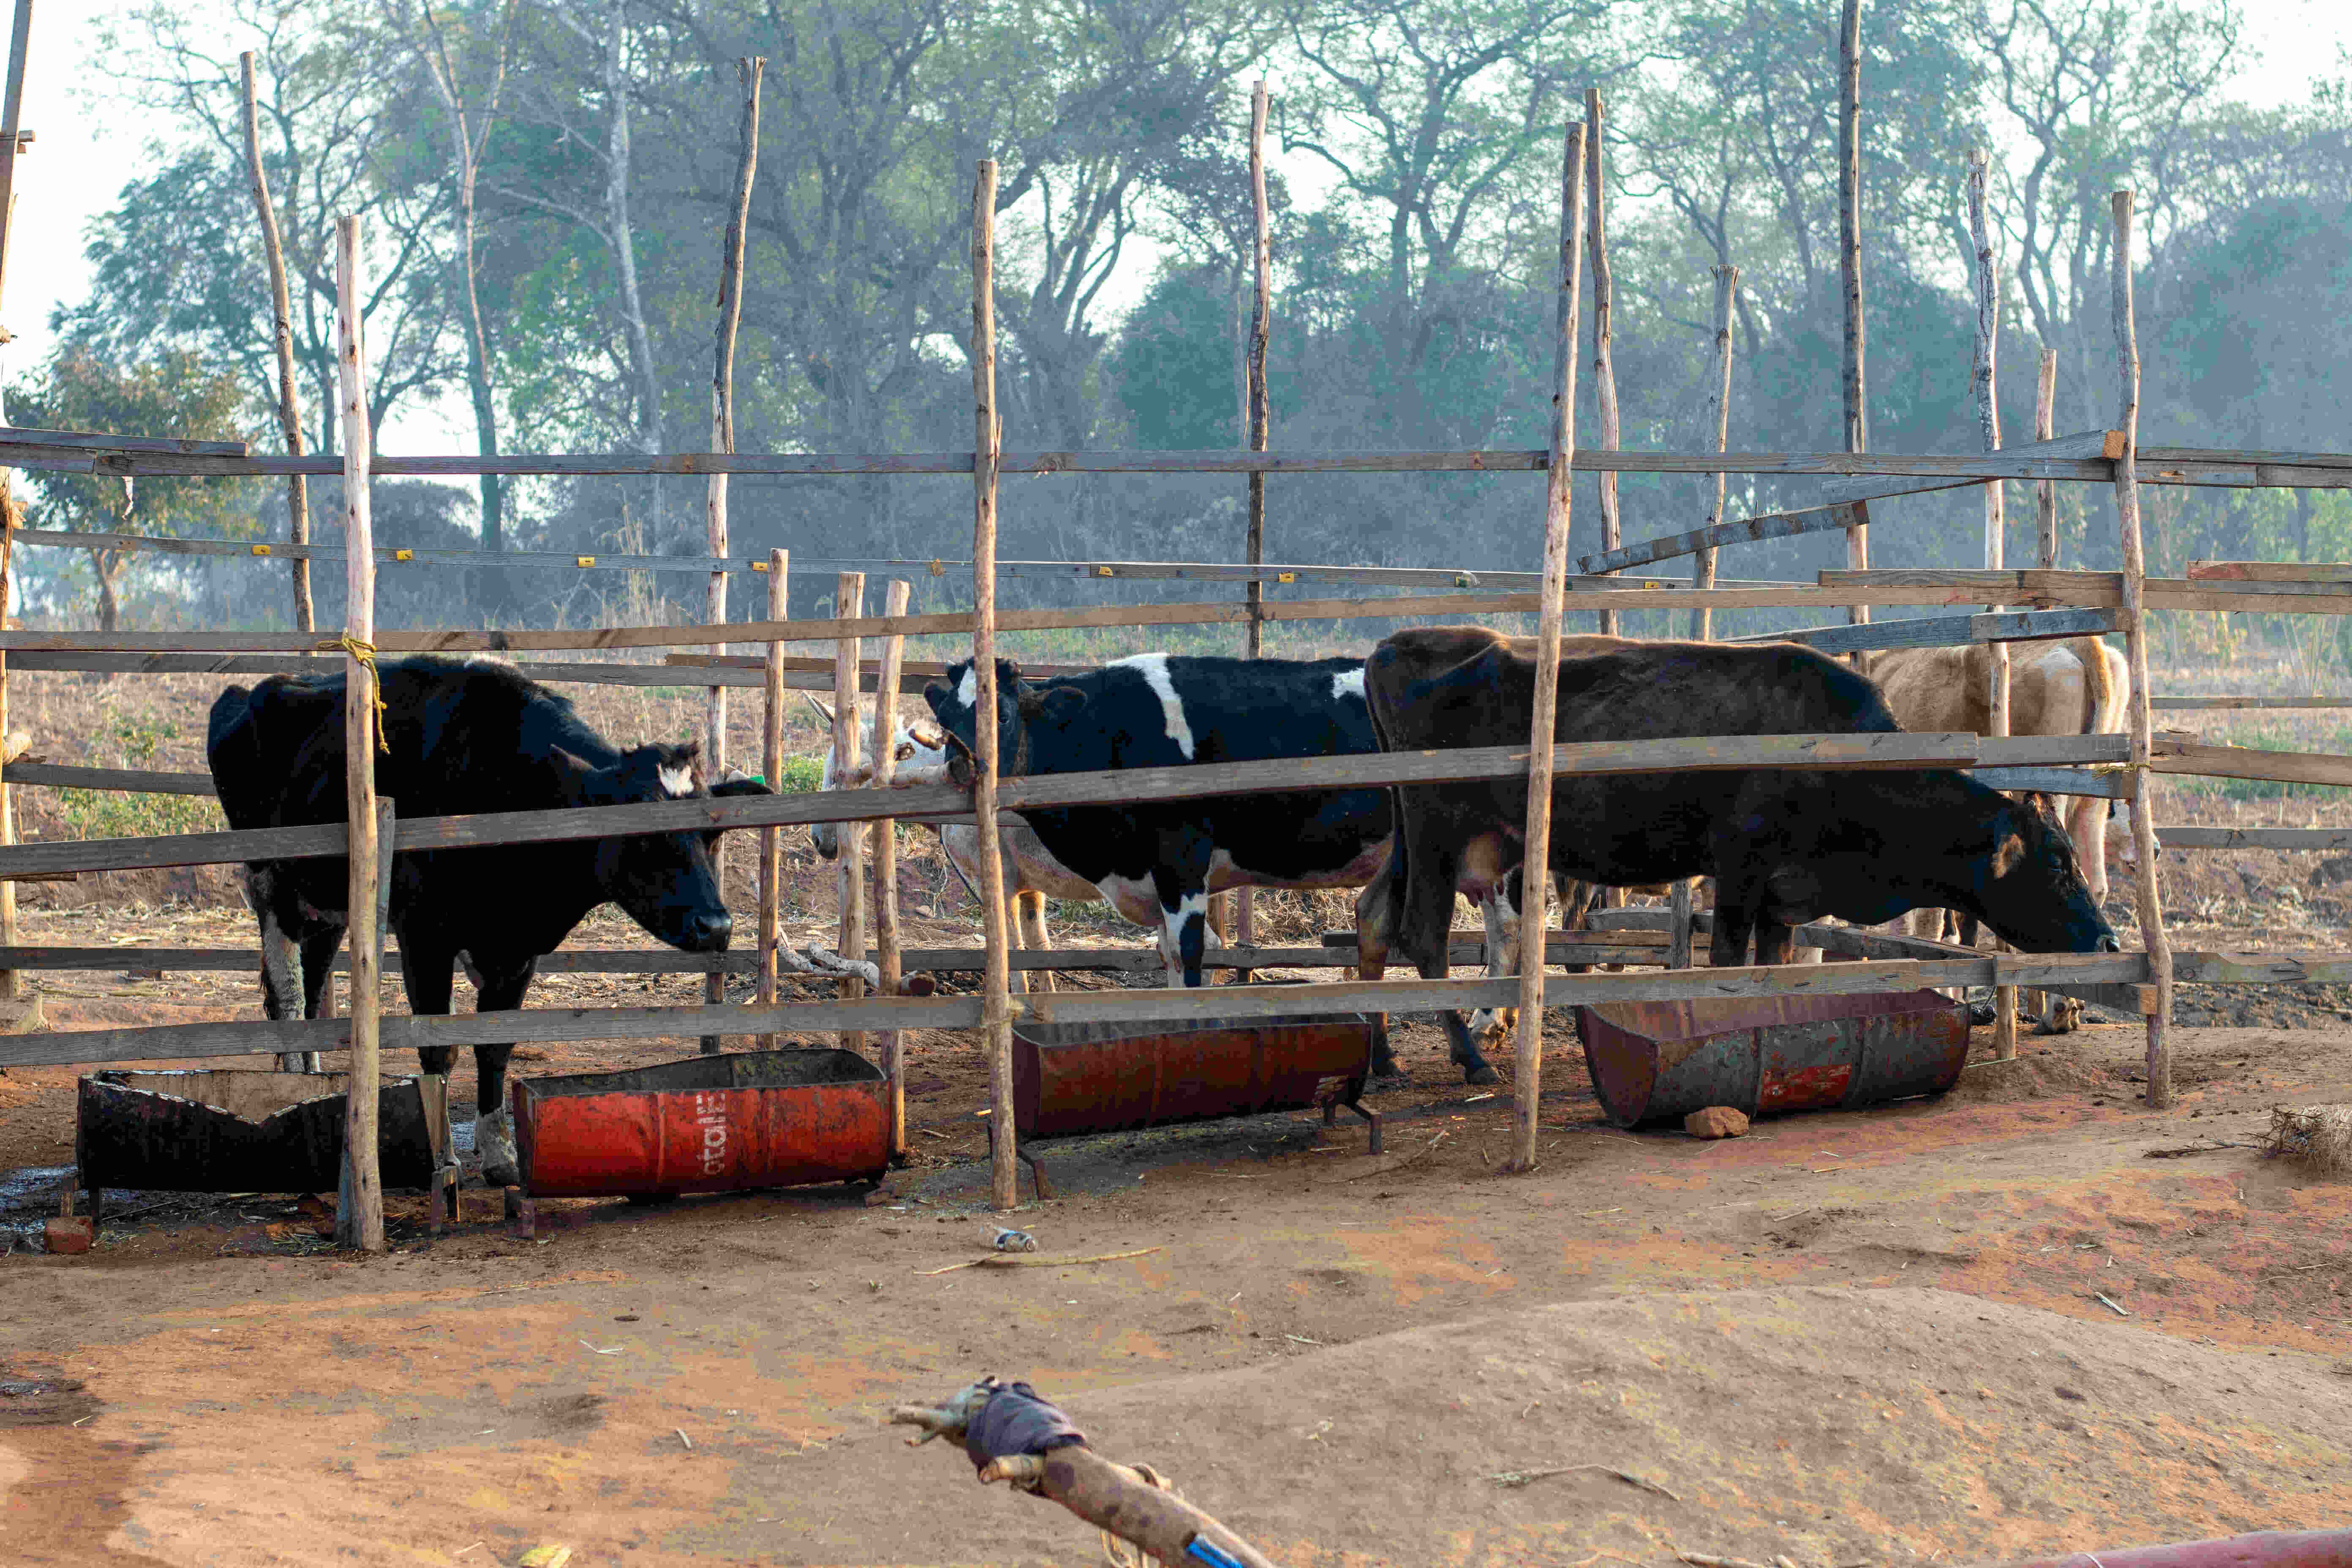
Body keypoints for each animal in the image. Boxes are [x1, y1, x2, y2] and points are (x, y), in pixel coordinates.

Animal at [203, 658, 767, 1184]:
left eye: (711, 833)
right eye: (645, 836)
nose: (717, 925)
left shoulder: (518, 951)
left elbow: (494, 1046)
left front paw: (499, 1155)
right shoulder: (424, 937)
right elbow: (438, 1048)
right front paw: (443, 1158)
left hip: (328, 904)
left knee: (314, 984)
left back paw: (313, 1084)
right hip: (271, 883)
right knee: (288, 994)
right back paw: (293, 1084)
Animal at [1355, 621, 2126, 1081]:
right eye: (2056, 865)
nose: (2107, 941)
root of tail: (1399, 644)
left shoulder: (1782, 897)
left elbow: (1772, 970)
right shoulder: (1739, 870)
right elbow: (1726, 964)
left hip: (1436, 840)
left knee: (1377, 915)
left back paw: (1391, 1057)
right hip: (1436, 832)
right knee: (1423, 934)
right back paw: (1469, 1059)